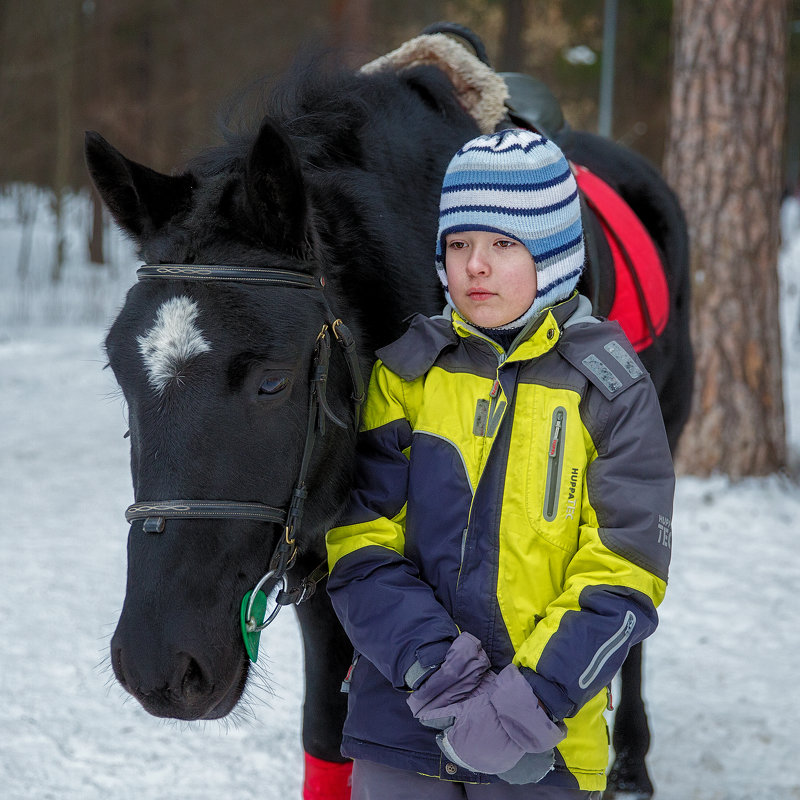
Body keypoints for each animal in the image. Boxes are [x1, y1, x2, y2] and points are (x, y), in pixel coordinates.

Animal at [86, 28, 688, 796]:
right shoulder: (326, 554)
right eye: (119, 372)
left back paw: (631, 760)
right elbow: (329, 734)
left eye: (273, 383)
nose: (159, 664)